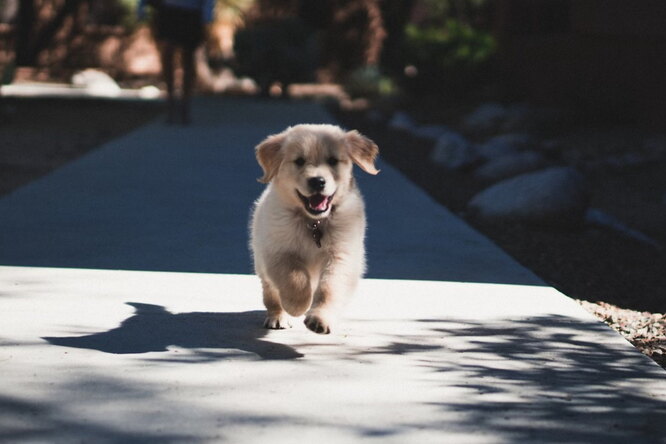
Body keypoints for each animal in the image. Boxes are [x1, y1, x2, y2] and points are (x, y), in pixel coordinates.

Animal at [250, 124, 378, 332]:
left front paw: (320, 319)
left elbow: (330, 288)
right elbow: (295, 278)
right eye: (299, 161)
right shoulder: (278, 251)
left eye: (333, 161)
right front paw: (298, 305)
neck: (314, 222)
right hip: (261, 262)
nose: (317, 181)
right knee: (271, 294)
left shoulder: (342, 254)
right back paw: (278, 316)